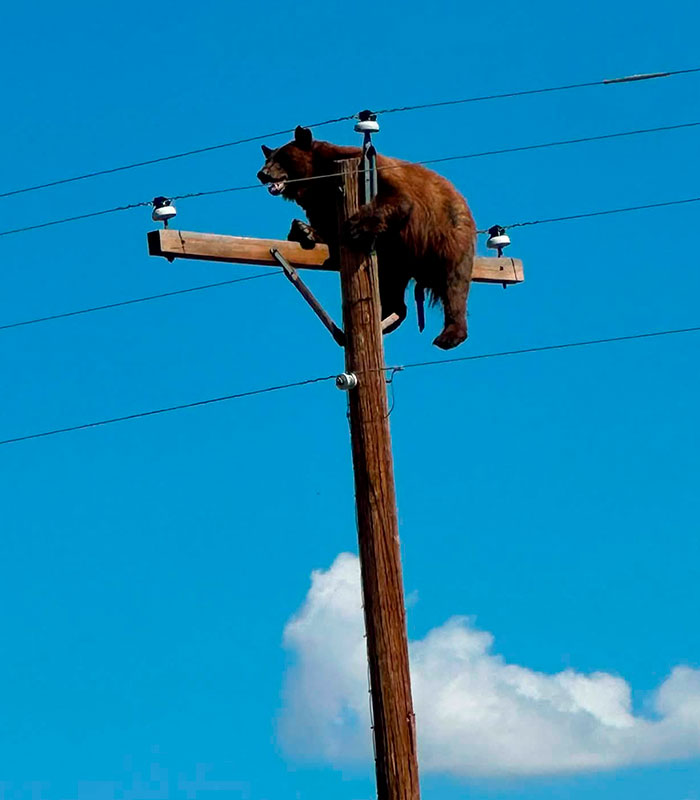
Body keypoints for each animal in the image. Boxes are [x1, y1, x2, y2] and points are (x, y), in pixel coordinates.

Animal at [257, 126, 476, 349]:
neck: (317, 178)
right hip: (396, 258)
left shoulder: (368, 170)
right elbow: (325, 225)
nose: (262, 174)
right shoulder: (321, 200)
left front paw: (354, 227)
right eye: (268, 158)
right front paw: (303, 230)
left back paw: (449, 335)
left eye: (282, 157)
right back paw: (386, 318)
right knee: (392, 286)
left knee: (453, 282)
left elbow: (397, 198)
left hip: (447, 232)